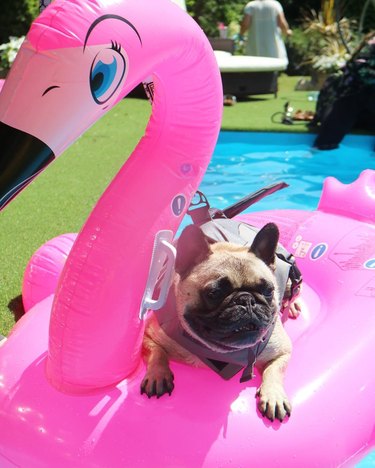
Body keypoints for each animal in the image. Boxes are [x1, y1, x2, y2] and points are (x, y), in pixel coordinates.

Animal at [140, 221, 298, 422]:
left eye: (268, 290)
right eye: (214, 293)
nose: (246, 300)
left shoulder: (282, 351)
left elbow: (275, 370)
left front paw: (274, 395)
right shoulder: (150, 335)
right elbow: (156, 352)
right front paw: (157, 374)